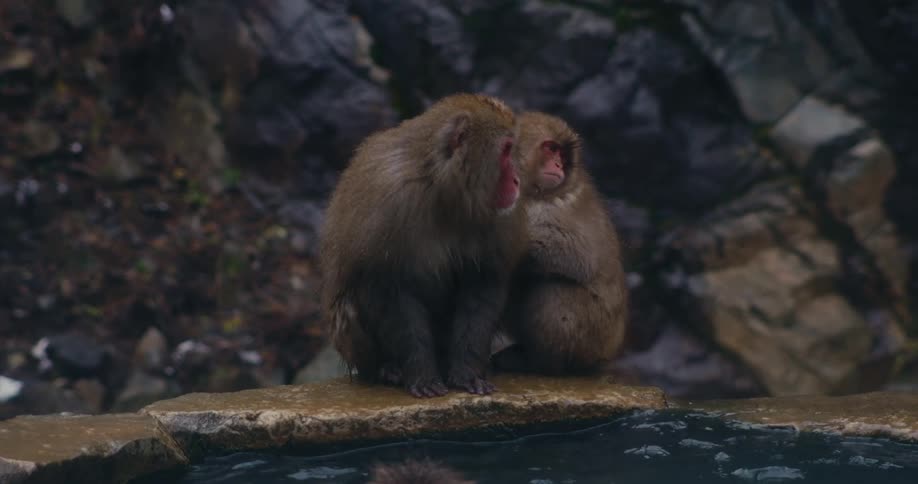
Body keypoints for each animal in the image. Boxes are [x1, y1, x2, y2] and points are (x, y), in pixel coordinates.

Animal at [319, 93, 527, 398]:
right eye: (506, 150)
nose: (517, 180)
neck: (442, 188)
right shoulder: (390, 203)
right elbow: (390, 291)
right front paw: (421, 374)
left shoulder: (499, 217)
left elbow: (483, 285)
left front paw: (466, 373)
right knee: (350, 311)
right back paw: (386, 369)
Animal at [495, 112, 627, 375]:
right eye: (552, 149)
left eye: (563, 157)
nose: (558, 166)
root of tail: (609, 353)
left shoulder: (559, 205)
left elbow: (579, 256)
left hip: (595, 336)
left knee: (554, 289)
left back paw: (541, 362)